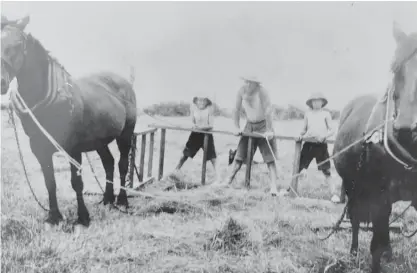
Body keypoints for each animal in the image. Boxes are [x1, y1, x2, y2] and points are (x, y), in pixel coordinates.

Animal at [0, 15, 137, 226]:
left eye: (16, 44)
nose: (1, 82)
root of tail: (124, 83)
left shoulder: (73, 148)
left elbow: (76, 182)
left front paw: (83, 217)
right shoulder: (39, 149)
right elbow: (50, 182)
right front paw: (54, 216)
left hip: (125, 135)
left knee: (122, 165)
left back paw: (122, 200)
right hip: (100, 141)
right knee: (109, 163)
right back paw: (107, 199)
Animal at [332, 22, 416, 270]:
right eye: (395, 68)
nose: (406, 129)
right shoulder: (379, 195)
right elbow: (375, 243)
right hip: (353, 186)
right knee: (356, 219)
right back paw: (353, 253)